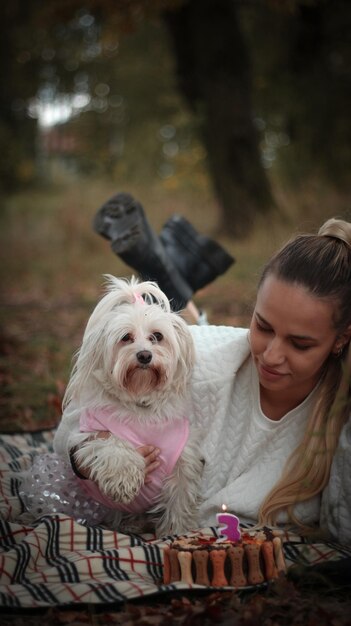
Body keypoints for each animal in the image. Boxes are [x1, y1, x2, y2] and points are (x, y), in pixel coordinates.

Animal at [54, 276, 205, 532]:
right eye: (126, 337)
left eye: (157, 336)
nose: (144, 355)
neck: (140, 405)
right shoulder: (89, 436)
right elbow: (114, 446)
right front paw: (123, 481)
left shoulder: (184, 460)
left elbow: (179, 503)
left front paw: (176, 533)